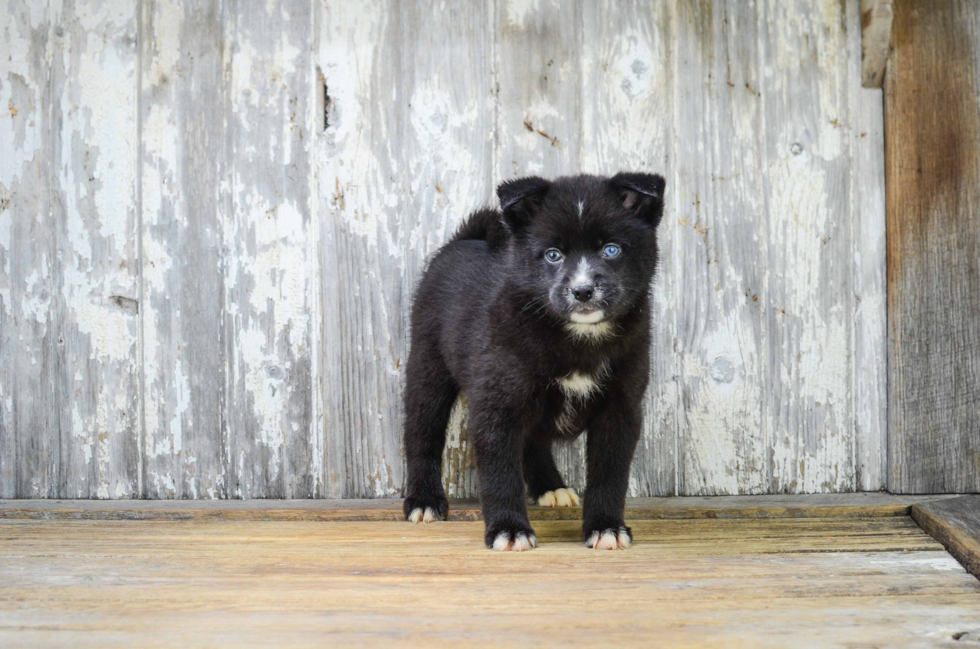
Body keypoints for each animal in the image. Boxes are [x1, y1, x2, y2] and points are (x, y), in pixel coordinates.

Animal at [400, 173, 668, 552]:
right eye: (553, 255)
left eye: (611, 249)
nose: (582, 291)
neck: (577, 338)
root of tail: (465, 239)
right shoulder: (497, 404)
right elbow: (501, 474)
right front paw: (509, 530)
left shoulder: (620, 408)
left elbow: (610, 474)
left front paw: (606, 526)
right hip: (428, 366)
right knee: (422, 432)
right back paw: (424, 500)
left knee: (534, 440)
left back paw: (550, 486)